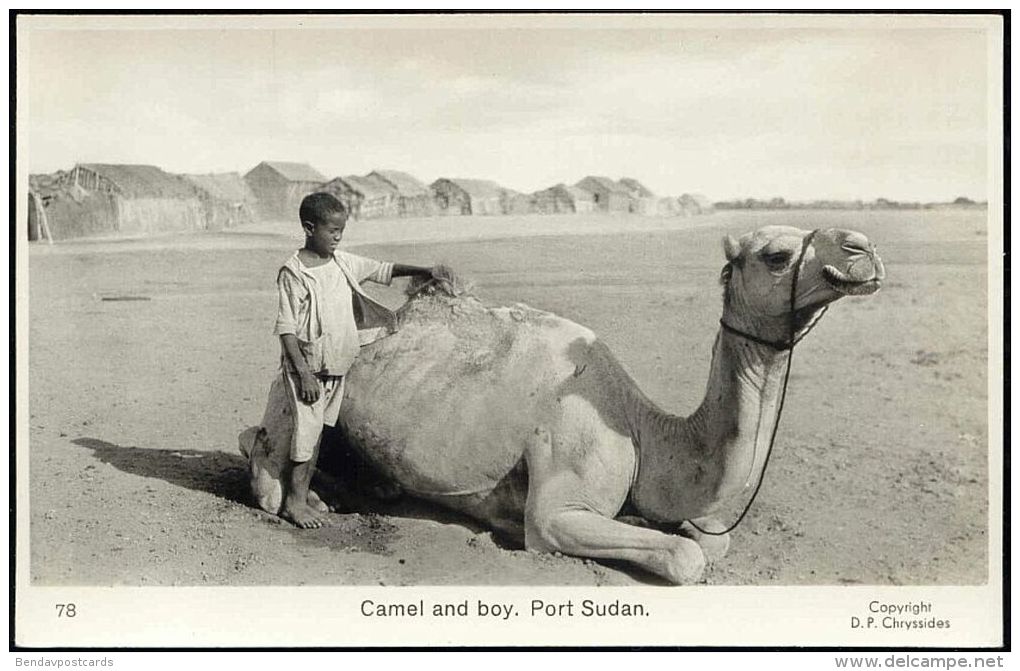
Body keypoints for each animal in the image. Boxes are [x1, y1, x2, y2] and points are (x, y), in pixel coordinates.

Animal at [240, 225, 884, 584]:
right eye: (776, 255)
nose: (863, 248)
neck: (643, 431)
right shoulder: (556, 508)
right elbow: (685, 557)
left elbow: (710, 539)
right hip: (291, 388)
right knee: (266, 452)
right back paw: (308, 500)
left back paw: (365, 489)